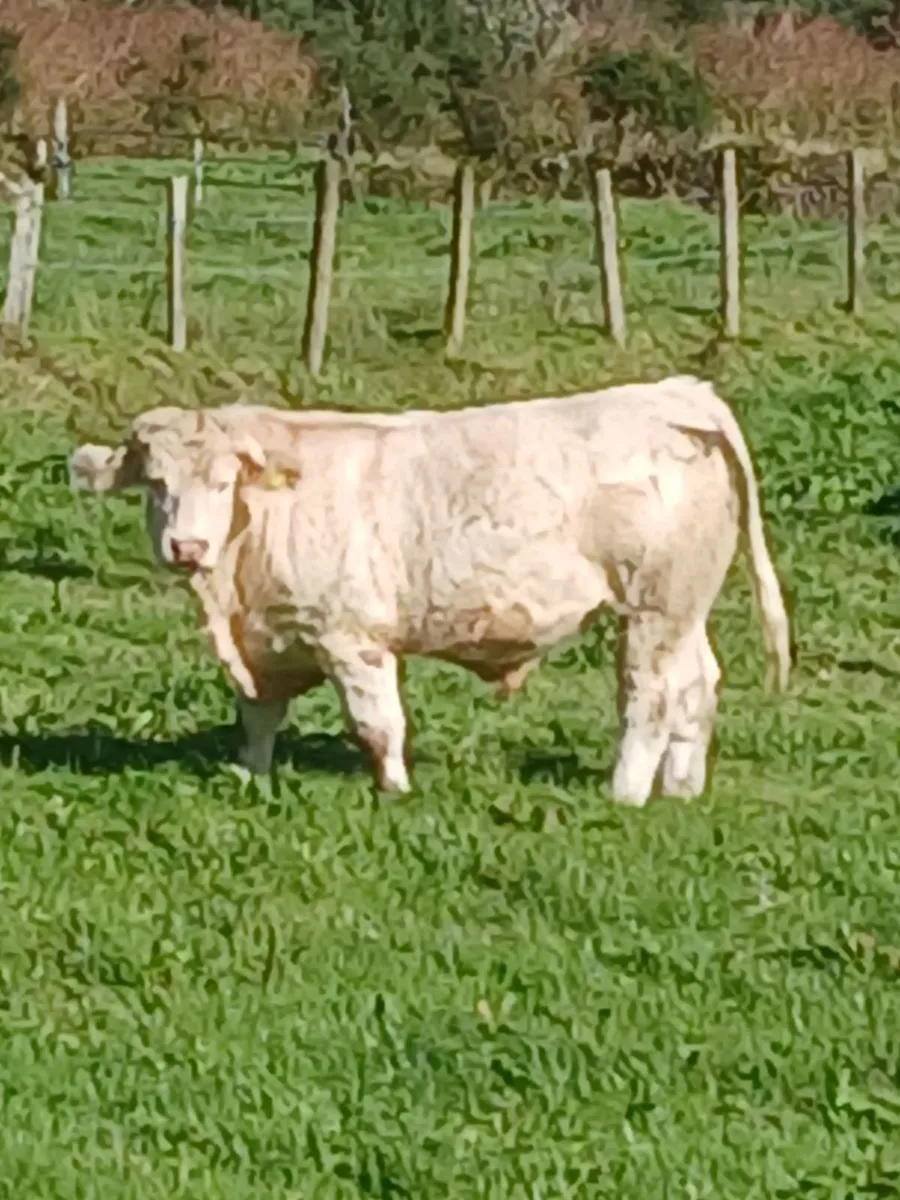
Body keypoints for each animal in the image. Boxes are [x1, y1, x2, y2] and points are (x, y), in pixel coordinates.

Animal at [68, 376, 791, 807]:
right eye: (155, 483)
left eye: (223, 482)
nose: (186, 547)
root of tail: (675, 393)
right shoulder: (270, 640)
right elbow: (257, 717)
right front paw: (250, 775)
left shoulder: (351, 637)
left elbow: (378, 722)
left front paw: (394, 789)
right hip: (686, 606)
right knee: (698, 686)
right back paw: (682, 788)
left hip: (652, 608)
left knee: (650, 698)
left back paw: (626, 791)